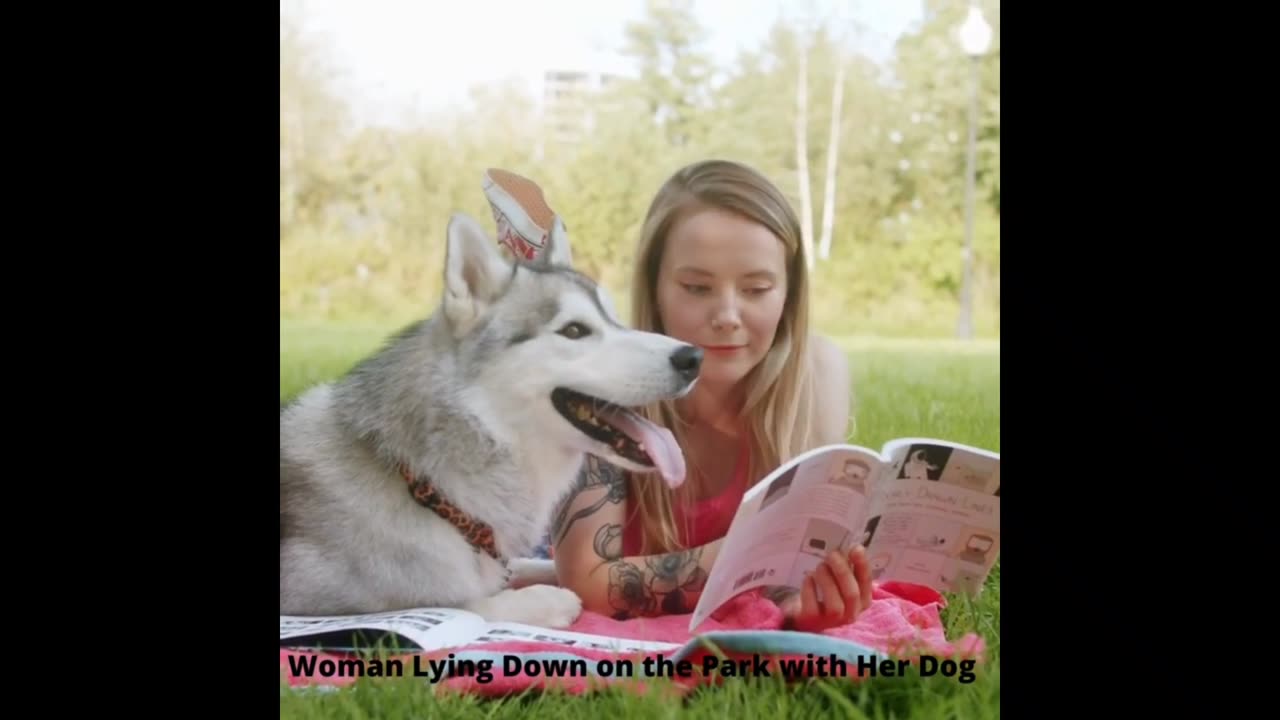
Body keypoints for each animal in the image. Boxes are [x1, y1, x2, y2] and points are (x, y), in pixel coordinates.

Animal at [281, 210, 706, 625]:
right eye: (574, 330)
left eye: (617, 321)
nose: (693, 358)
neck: (422, 484)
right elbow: (466, 604)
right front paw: (546, 601)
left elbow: (526, 566)